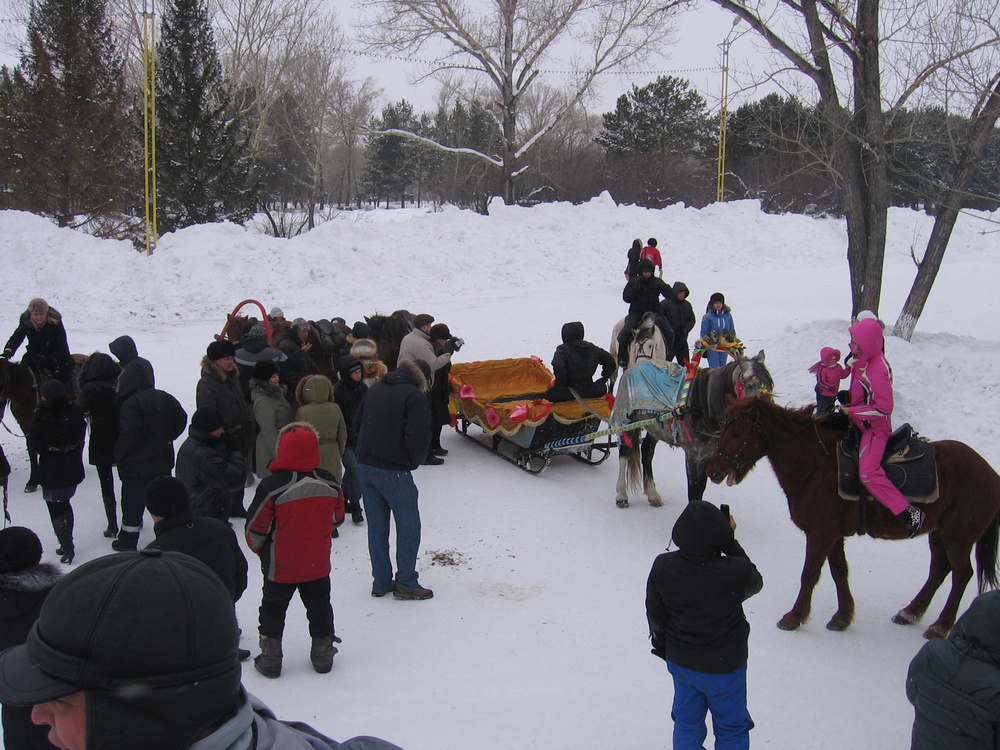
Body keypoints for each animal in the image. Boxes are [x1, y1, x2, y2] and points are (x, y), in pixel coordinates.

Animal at [704, 400, 1000, 640]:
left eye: (737, 433)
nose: (713, 471)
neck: (815, 465)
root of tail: (991, 473)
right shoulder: (832, 535)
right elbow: (839, 572)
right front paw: (843, 616)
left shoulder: (820, 533)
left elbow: (809, 574)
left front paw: (795, 616)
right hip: (939, 533)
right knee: (939, 570)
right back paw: (911, 612)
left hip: (958, 537)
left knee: (962, 574)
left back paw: (941, 625)